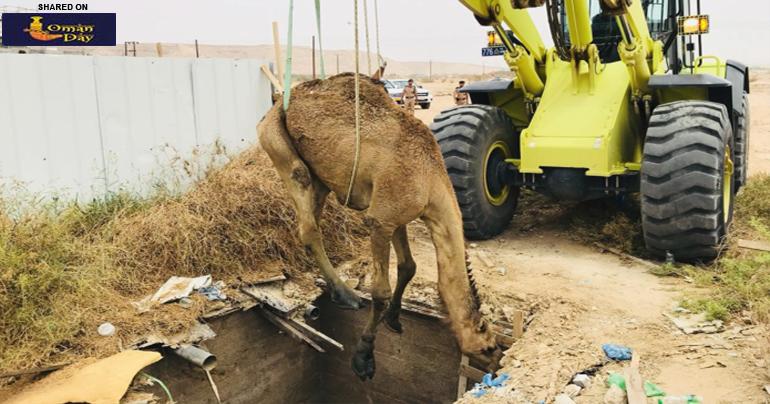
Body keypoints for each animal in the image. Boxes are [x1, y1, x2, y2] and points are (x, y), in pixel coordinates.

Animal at [256, 73, 498, 382]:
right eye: (489, 346)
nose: (496, 367)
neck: (430, 179)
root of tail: (281, 101)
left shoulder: (397, 216)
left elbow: (409, 267)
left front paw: (394, 319)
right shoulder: (380, 219)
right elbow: (380, 292)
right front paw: (363, 358)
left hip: (321, 174)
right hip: (276, 142)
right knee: (306, 219)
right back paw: (346, 295)